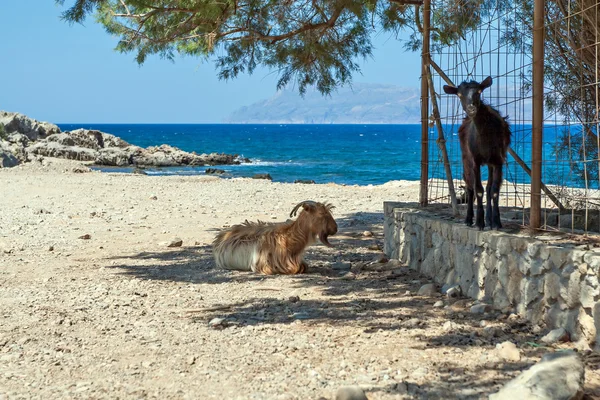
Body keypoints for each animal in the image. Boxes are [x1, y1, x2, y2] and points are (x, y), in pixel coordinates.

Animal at [442, 76, 508, 230]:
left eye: (479, 91)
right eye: (459, 94)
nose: (471, 108)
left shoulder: (498, 160)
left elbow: (494, 190)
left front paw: (496, 222)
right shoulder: (475, 160)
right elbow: (478, 189)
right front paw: (479, 222)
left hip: (490, 163)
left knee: (488, 187)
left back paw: (489, 220)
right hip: (466, 158)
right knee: (469, 186)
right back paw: (468, 219)